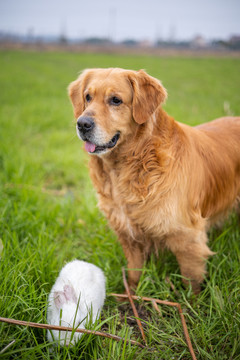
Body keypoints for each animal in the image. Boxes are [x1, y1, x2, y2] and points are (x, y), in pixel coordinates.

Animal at [67, 67, 240, 292]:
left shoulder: (187, 236)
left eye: (115, 100)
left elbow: (191, 281)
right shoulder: (128, 233)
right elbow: (134, 272)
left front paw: (191, 300)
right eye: (88, 97)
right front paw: (131, 293)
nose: (82, 124)